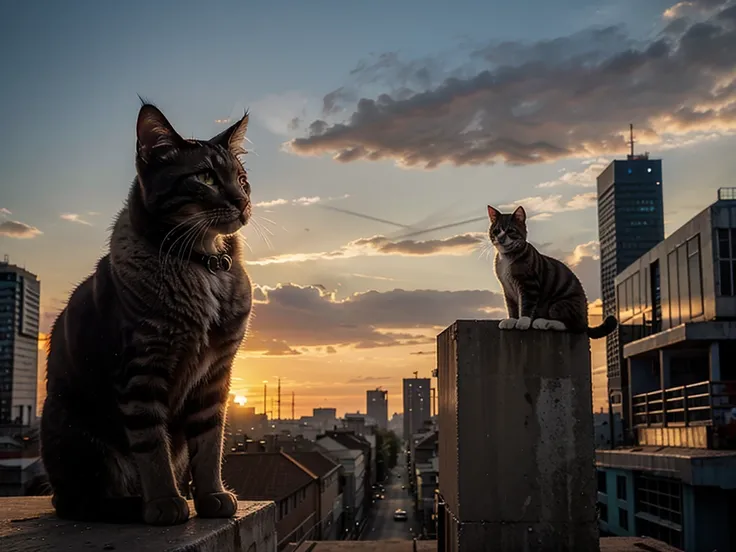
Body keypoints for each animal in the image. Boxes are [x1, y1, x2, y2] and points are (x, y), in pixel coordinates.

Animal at [43, 103, 256, 528]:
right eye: (205, 177)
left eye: (242, 180)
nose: (242, 201)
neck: (204, 264)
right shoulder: (142, 368)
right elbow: (152, 446)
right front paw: (164, 501)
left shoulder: (216, 374)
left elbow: (210, 443)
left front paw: (211, 495)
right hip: (74, 430)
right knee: (79, 500)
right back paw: (132, 505)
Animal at [486, 205, 620, 338]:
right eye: (496, 231)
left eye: (510, 231)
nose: (501, 238)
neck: (507, 258)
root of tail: (585, 321)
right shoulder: (507, 287)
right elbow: (511, 305)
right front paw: (512, 320)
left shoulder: (529, 284)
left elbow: (527, 304)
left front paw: (523, 321)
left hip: (561, 304)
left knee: (572, 325)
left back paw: (544, 322)